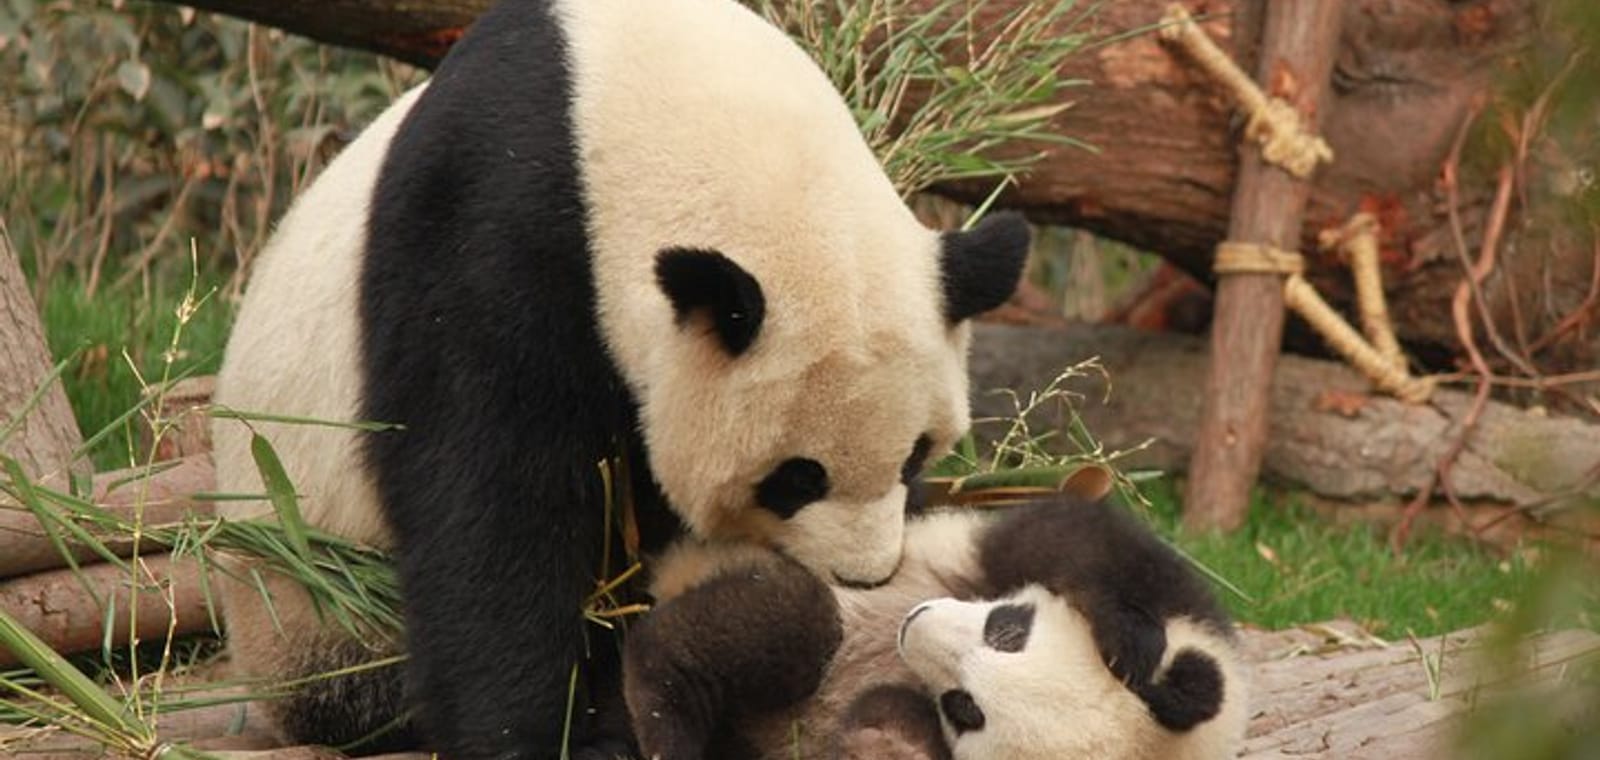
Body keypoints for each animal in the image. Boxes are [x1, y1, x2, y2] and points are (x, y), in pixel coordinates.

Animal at [207, 0, 1030, 757]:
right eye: (796, 477)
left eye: (915, 456)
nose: (864, 576)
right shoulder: (489, 227)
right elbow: (491, 499)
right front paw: (533, 731)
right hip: (313, 597)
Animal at [623, 494, 1248, 760]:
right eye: (1008, 629)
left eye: (965, 709)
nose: (913, 624)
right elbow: (1075, 538)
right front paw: (1128, 638)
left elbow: (890, 723)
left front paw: (880, 739)